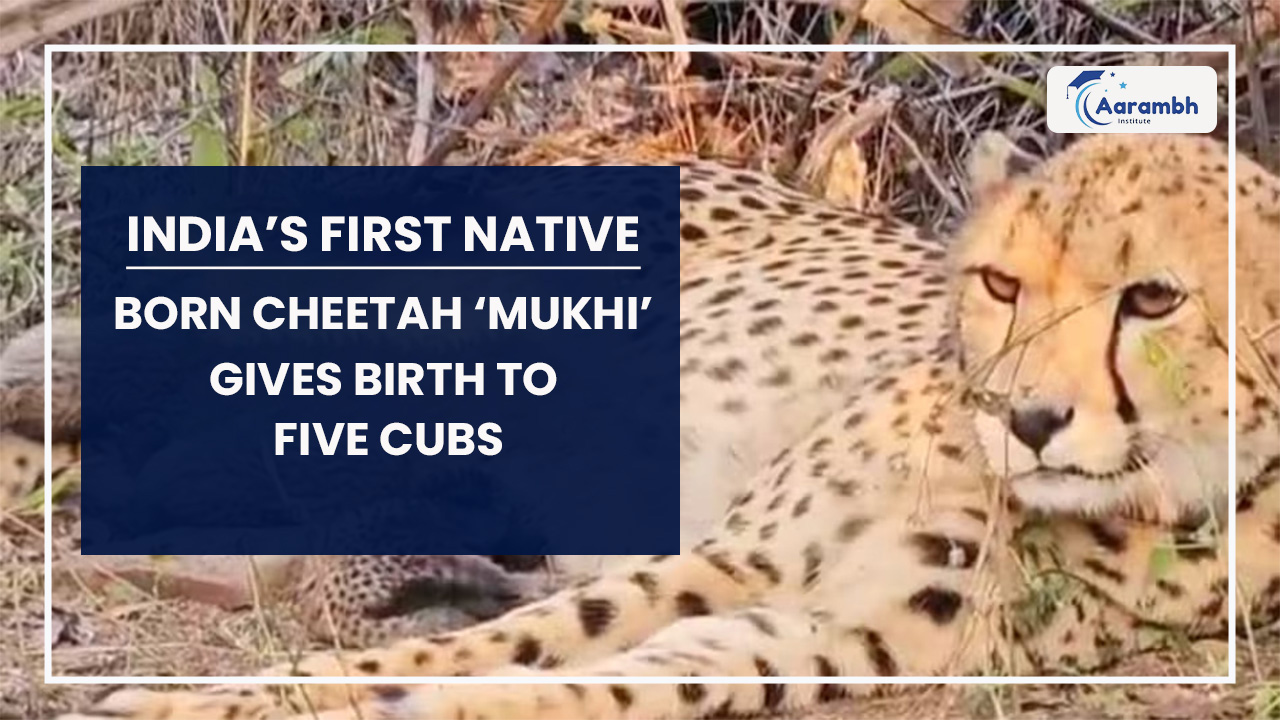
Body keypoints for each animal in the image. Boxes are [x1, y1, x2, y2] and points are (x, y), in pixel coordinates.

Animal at [61, 133, 1280, 720]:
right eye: (1000, 283)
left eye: (1153, 300)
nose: (1025, 416)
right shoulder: (737, 557)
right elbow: (510, 641)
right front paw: (217, 699)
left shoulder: (825, 632)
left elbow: (600, 675)